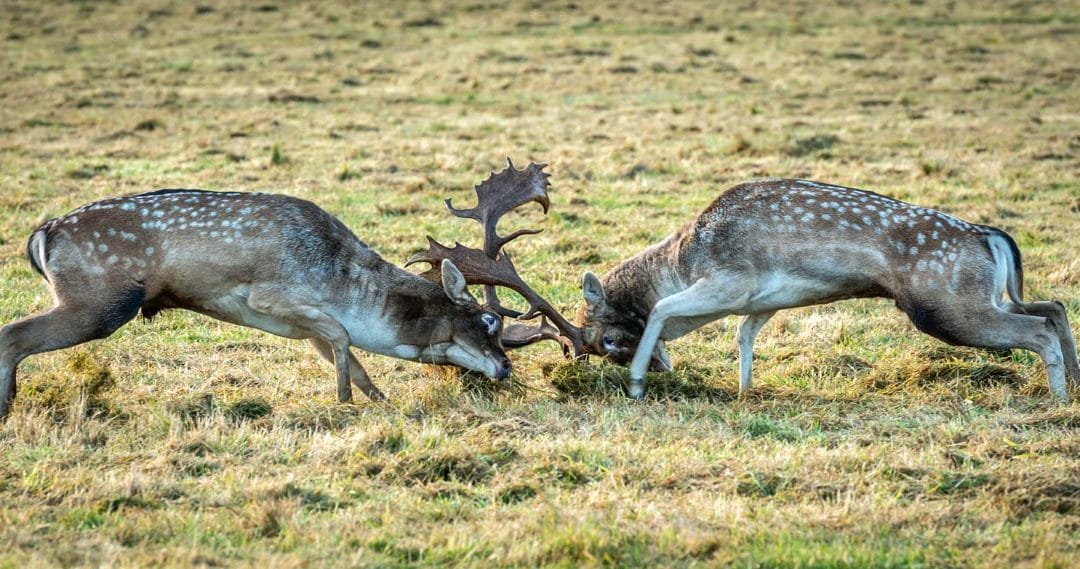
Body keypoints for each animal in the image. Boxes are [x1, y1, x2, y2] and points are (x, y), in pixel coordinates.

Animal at [0, 188, 514, 416]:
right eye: (489, 320)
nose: (506, 368)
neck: (342, 285)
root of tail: (42, 235)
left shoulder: (305, 326)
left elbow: (347, 354)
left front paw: (377, 399)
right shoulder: (268, 296)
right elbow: (343, 337)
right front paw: (343, 402)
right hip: (99, 300)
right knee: (13, 333)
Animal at [578, 178, 1075, 401]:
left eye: (603, 332)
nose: (581, 350)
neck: (683, 260)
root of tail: (988, 235)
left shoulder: (732, 279)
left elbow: (662, 308)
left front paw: (636, 384)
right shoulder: (764, 301)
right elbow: (744, 334)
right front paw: (745, 390)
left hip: (945, 306)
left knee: (1037, 327)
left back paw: (1058, 398)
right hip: (980, 297)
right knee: (1053, 305)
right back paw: (1075, 382)